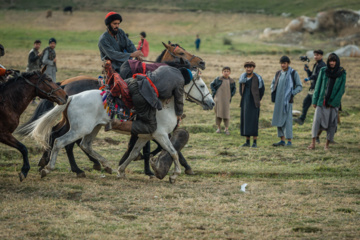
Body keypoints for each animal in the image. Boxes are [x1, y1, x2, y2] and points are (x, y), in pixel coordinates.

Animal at [27, 70, 214, 183]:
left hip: (93, 128)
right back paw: (48, 168)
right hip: (79, 129)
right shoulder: (160, 135)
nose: (212, 103)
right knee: (60, 141)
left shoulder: (145, 136)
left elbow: (133, 153)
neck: (165, 104)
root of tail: (71, 97)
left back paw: (105, 166)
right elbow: (174, 152)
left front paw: (121, 170)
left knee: (84, 145)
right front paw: (174, 175)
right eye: (202, 85)